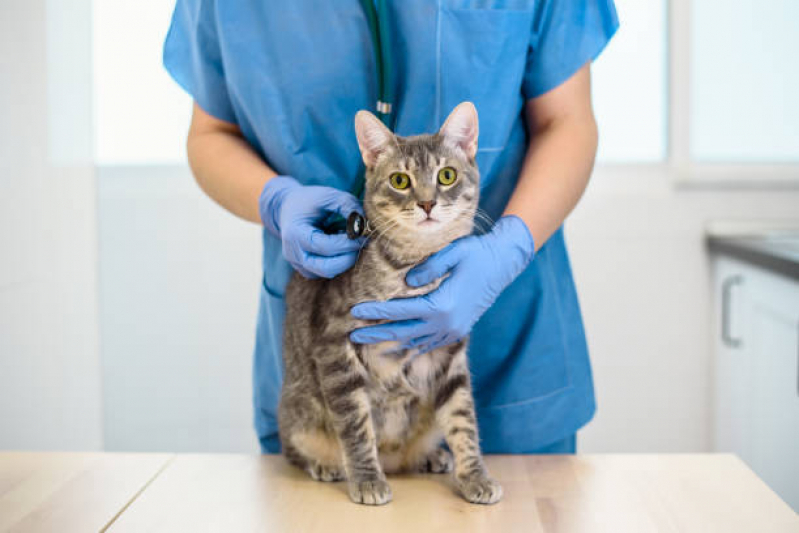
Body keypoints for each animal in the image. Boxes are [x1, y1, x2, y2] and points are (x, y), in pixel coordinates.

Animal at [276, 102, 500, 504]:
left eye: (446, 176)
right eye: (400, 181)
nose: (427, 202)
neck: (412, 267)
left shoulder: (450, 350)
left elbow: (463, 421)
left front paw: (475, 475)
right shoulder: (335, 347)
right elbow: (356, 425)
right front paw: (367, 478)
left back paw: (430, 455)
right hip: (298, 413)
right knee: (293, 448)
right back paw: (325, 465)